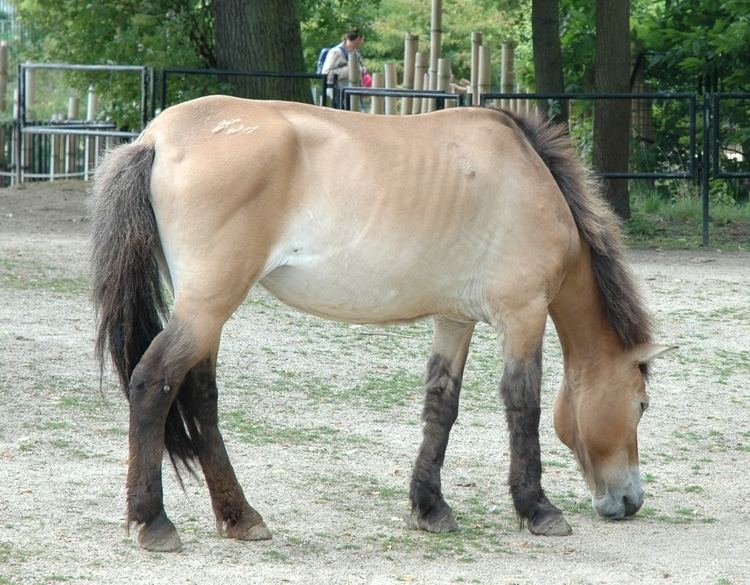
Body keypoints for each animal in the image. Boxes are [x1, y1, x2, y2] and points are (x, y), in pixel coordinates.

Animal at [91, 96, 672, 552]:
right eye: (641, 405)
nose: (630, 500)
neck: (527, 176)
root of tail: (157, 138)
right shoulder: (524, 314)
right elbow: (522, 404)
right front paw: (538, 509)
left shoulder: (455, 320)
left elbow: (441, 406)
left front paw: (430, 507)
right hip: (208, 303)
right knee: (152, 382)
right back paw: (153, 522)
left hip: (207, 310)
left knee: (201, 398)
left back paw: (240, 517)